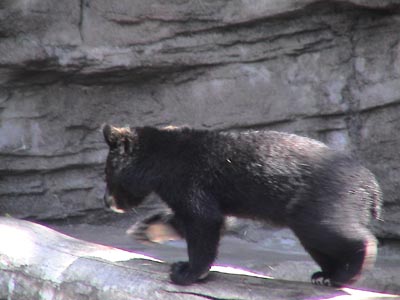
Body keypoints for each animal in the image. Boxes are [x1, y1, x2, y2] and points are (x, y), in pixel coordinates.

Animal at [102, 123, 382, 286]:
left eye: (107, 174)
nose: (107, 202)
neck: (160, 158)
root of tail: (372, 189)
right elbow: (203, 218)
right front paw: (145, 228)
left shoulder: (188, 178)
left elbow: (203, 218)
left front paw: (185, 271)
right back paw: (325, 276)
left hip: (324, 197)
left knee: (325, 228)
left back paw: (348, 270)